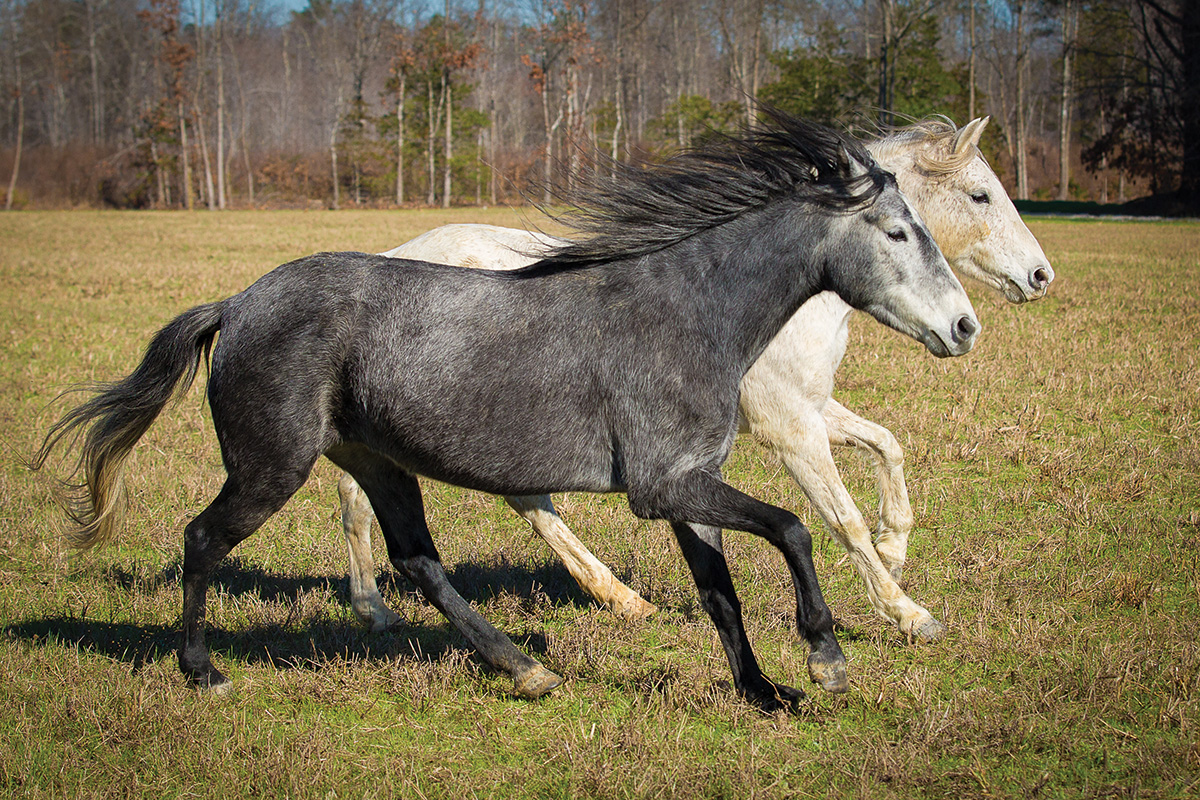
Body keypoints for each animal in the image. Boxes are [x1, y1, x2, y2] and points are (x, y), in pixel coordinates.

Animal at [340, 117, 1051, 642]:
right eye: (981, 195)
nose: (1039, 277)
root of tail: (394, 256)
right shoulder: (789, 425)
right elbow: (839, 516)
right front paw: (905, 610)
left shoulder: (810, 408)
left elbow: (887, 445)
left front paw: (896, 546)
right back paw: (376, 608)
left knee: (508, 499)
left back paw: (620, 600)